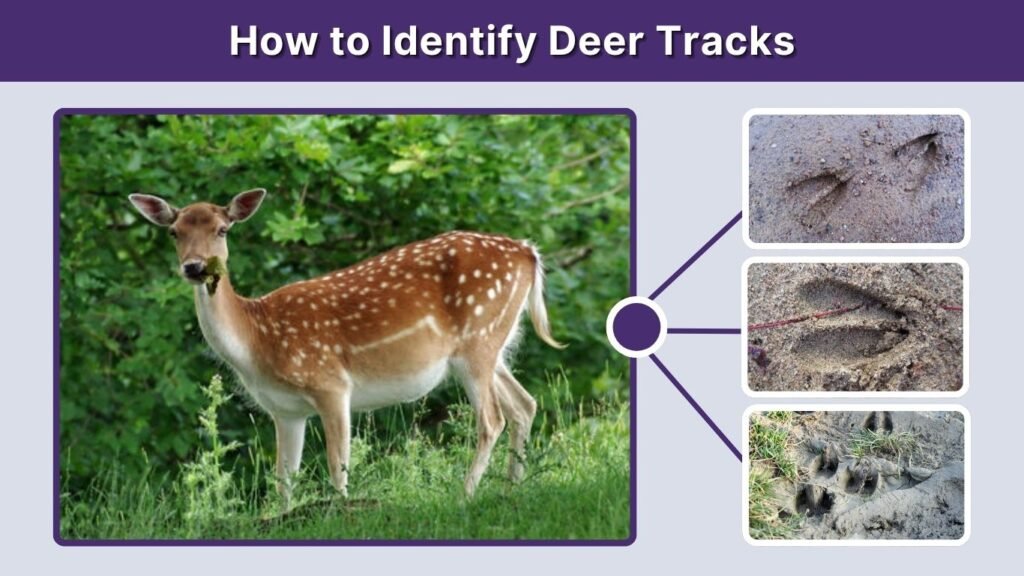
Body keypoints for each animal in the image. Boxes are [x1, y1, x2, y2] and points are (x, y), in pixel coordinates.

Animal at [128, 189, 564, 507]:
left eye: (222, 229)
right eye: (174, 232)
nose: (195, 267)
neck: (257, 342)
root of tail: (528, 252)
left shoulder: (331, 384)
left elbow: (338, 465)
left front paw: (342, 512)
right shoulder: (285, 410)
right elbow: (284, 477)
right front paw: (284, 517)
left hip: (478, 338)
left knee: (492, 419)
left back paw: (465, 496)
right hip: (492, 345)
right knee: (524, 404)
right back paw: (511, 490)